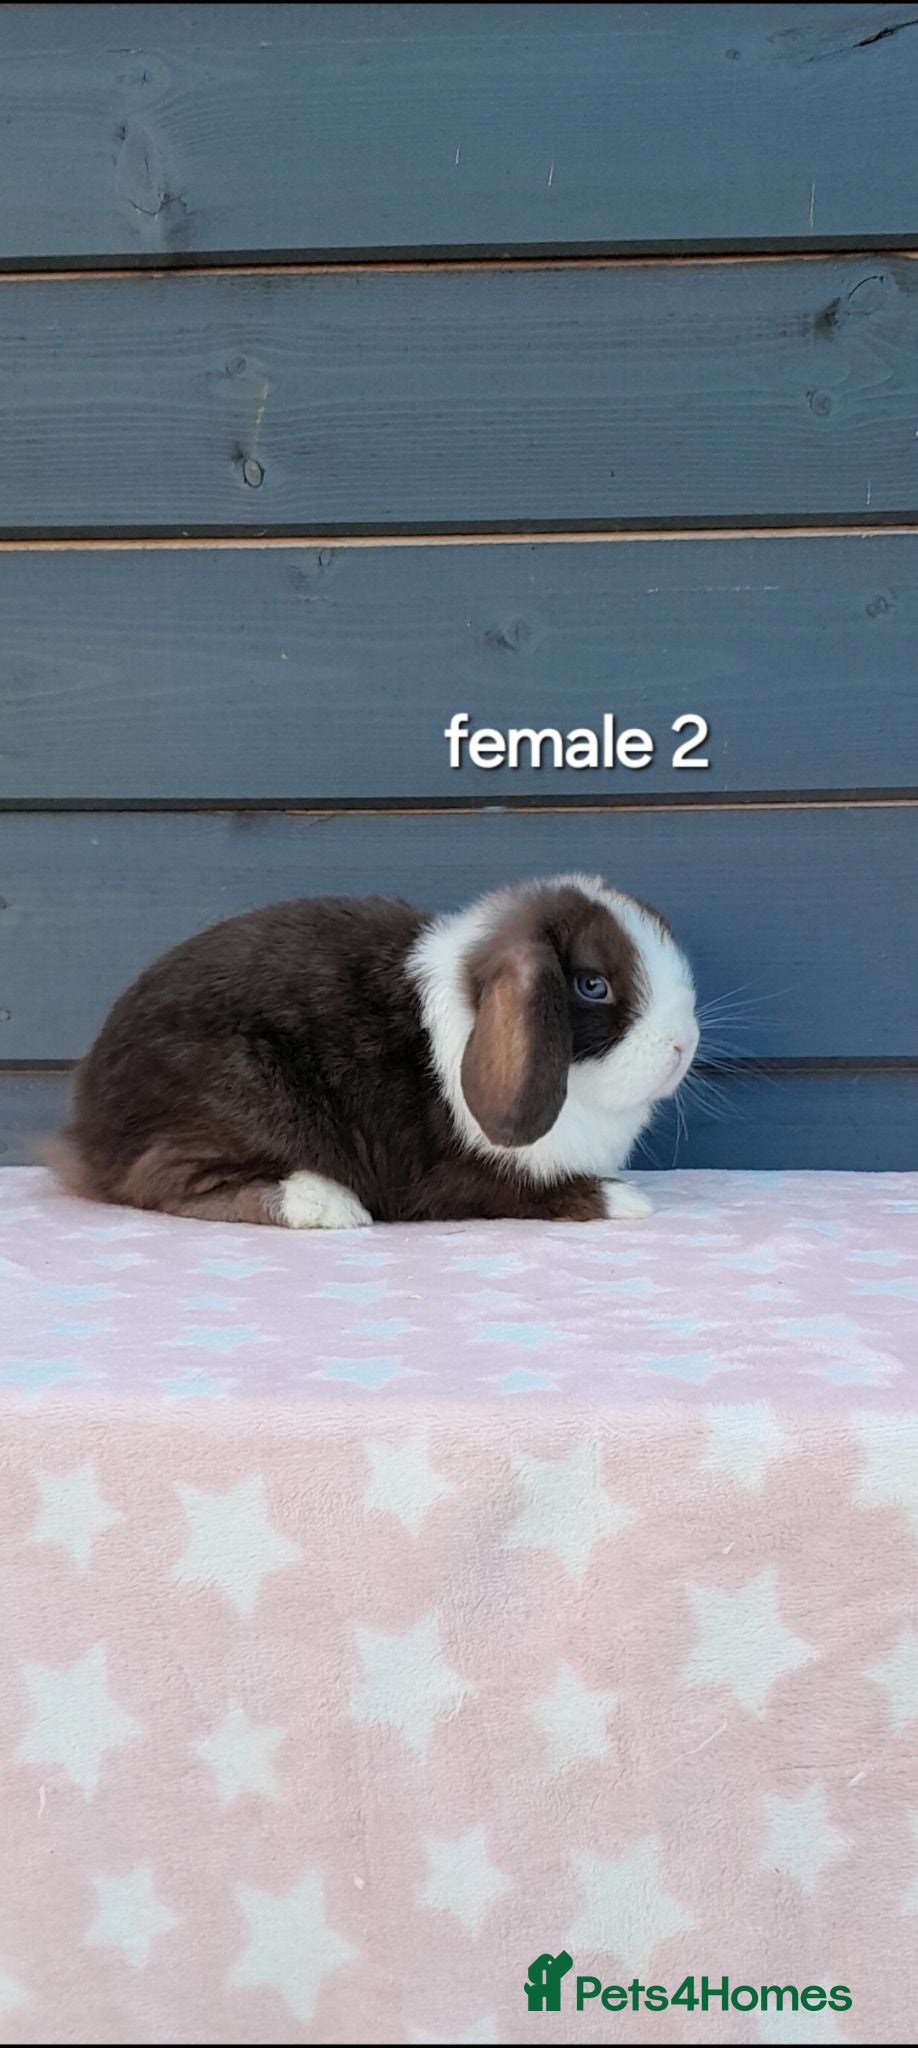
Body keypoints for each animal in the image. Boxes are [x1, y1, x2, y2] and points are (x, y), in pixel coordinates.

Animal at [53, 873, 699, 1228]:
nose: (682, 1045)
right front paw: (624, 1200)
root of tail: (87, 1128)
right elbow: (537, 1193)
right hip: (245, 1096)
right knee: (160, 1180)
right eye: (592, 985)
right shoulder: (467, 1180)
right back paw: (323, 1203)